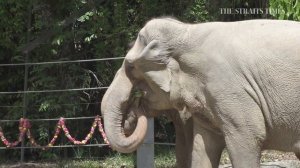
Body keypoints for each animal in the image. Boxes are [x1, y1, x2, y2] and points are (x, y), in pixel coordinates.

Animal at [100, 17, 300, 167]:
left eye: (130, 66)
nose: (136, 103)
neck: (187, 31)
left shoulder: (231, 89)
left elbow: (249, 138)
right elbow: (202, 144)